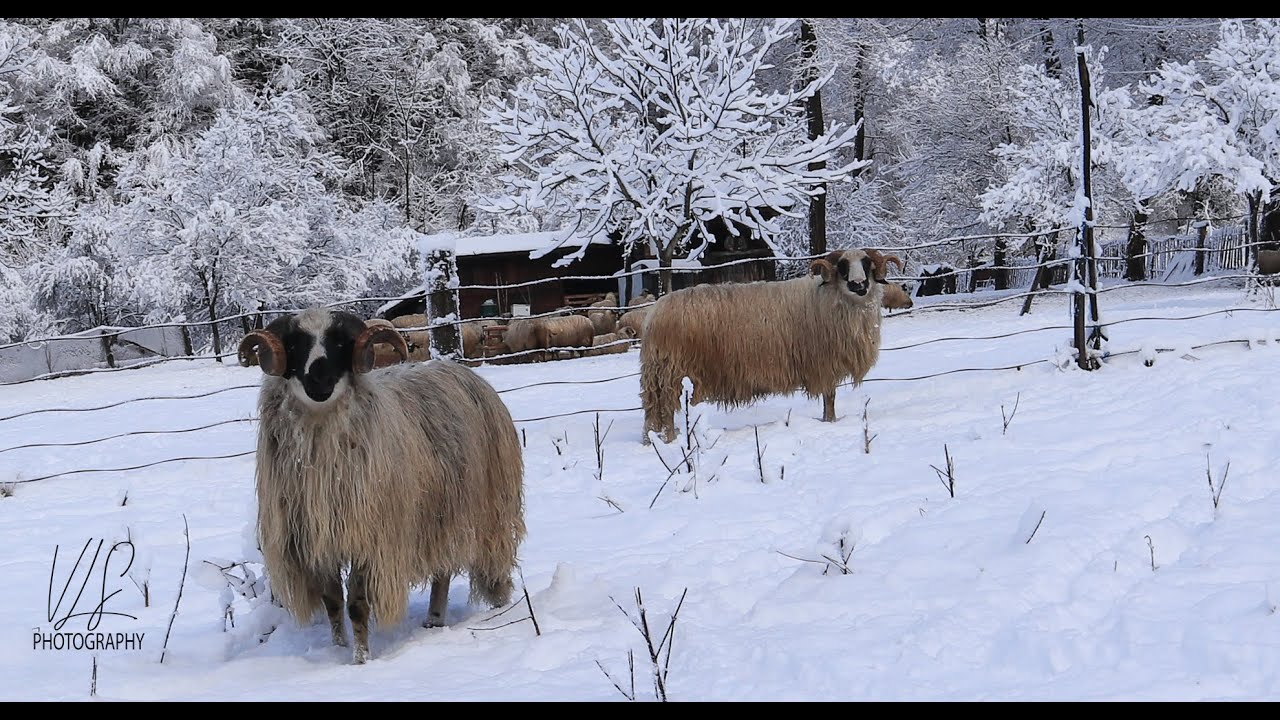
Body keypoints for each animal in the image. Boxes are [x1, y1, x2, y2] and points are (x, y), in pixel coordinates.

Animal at [238, 308, 522, 661]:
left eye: (340, 342)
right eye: (294, 343)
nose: (319, 380)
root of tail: (461, 371)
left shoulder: (370, 538)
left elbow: (357, 605)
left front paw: (361, 659)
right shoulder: (317, 540)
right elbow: (333, 602)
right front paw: (338, 649)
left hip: (484, 511)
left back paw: (495, 611)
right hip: (439, 513)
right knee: (442, 569)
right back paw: (434, 620)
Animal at [640, 251, 901, 443]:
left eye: (866, 263)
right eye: (843, 266)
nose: (859, 284)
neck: (827, 298)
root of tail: (655, 313)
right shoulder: (824, 364)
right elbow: (830, 398)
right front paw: (830, 422)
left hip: (659, 374)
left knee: (655, 410)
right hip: (672, 371)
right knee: (667, 409)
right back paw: (671, 440)